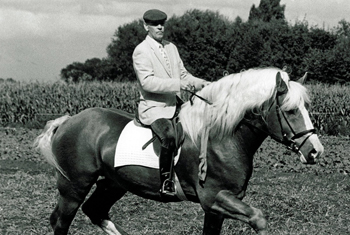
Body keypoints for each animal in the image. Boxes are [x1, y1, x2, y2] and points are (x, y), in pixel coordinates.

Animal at [34, 67, 322, 234]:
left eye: (306, 107)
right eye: (290, 111)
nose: (315, 151)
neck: (221, 137)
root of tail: (69, 120)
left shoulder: (216, 207)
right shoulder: (214, 198)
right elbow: (258, 218)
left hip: (113, 183)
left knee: (95, 210)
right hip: (73, 187)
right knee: (60, 220)